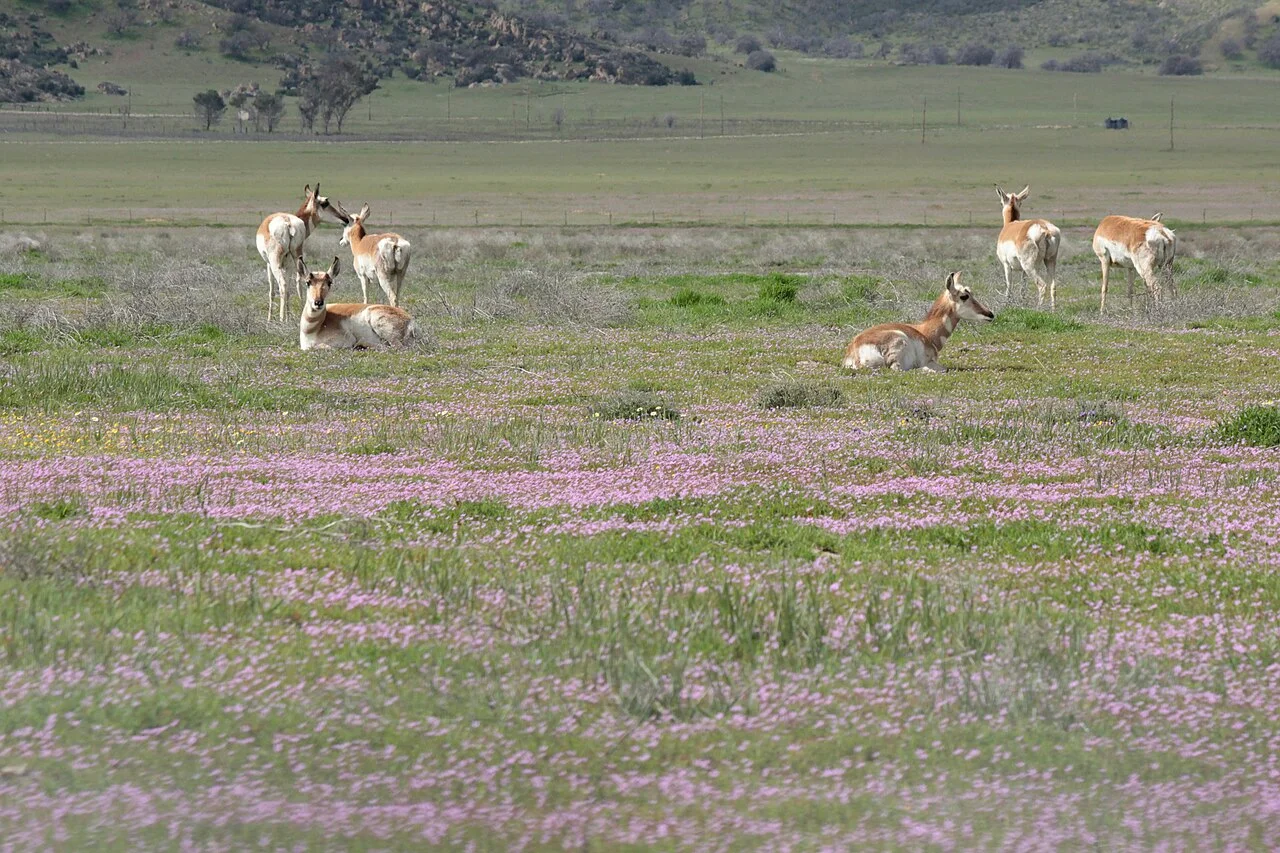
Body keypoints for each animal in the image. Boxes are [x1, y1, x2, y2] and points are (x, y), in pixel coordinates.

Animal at [255, 183, 348, 323]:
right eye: (325, 203)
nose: (346, 219)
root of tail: (287, 222)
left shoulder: (269, 264)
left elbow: (272, 290)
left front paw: (270, 320)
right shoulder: (288, 264)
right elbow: (289, 288)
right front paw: (288, 317)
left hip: (276, 262)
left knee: (282, 285)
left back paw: (282, 319)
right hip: (296, 256)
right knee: (299, 282)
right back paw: (299, 314)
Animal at [843, 271, 994, 373]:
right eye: (964, 296)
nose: (990, 314)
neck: (925, 333)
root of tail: (854, 350)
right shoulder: (929, 361)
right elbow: (943, 368)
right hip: (899, 343)